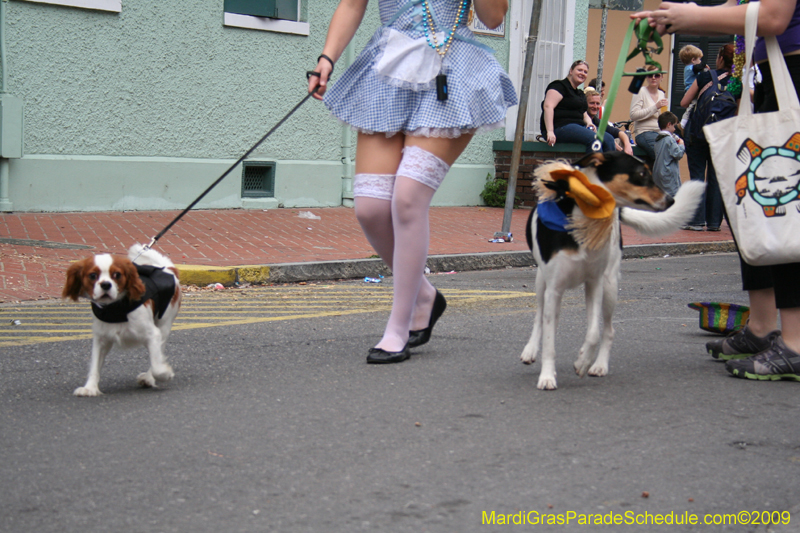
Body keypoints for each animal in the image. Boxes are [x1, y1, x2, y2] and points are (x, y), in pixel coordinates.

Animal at [62, 244, 181, 394]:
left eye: (117, 275)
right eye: (93, 275)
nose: (106, 284)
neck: (116, 308)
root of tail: (167, 268)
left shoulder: (153, 334)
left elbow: (157, 366)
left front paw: (165, 374)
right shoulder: (101, 338)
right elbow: (95, 365)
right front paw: (90, 388)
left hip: (164, 324)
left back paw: (149, 378)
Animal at [520, 152, 700, 388]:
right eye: (641, 174)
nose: (671, 200)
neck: (585, 218)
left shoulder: (595, 284)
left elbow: (594, 334)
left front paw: (583, 363)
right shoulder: (554, 289)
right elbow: (549, 338)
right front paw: (548, 376)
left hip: (610, 286)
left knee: (609, 330)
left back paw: (599, 365)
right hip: (542, 283)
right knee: (540, 318)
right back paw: (530, 350)